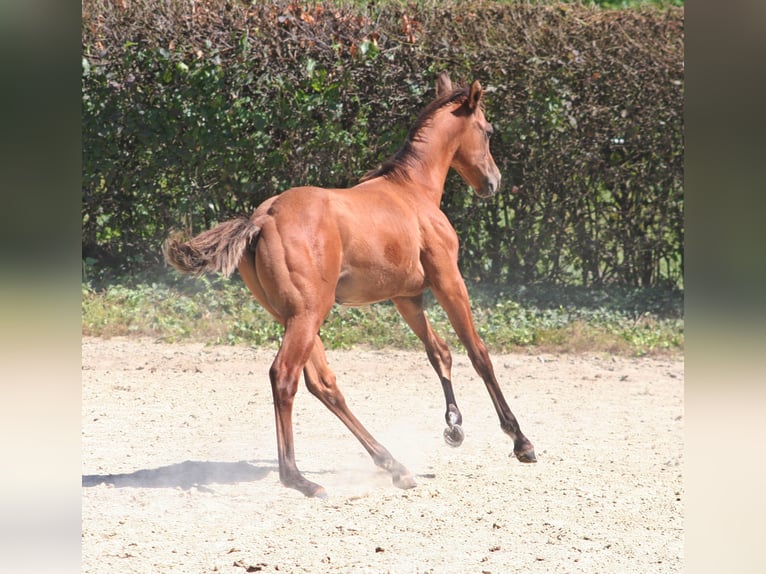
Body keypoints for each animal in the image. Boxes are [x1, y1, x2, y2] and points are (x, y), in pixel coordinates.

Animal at [166, 73, 540, 500]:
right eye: (488, 130)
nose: (493, 182)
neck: (413, 191)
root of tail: (263, 218)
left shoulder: (406, 297)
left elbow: (438, 352)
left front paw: (454, 425)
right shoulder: (448, 279)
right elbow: (478, 353)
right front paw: (520, 441)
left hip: (293, 316)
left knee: (323, 383)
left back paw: (394, 465)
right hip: (310, 313)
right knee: (285, 376)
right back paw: (300, 479)